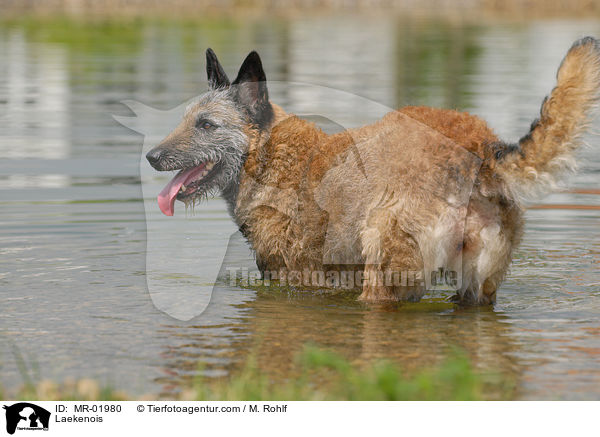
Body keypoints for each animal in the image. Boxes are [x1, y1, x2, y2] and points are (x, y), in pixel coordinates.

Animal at [145, 38, 600, 304]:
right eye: (187, 120)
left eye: (206, 125)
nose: (151, 156)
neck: (268, 155)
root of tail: (479, 147)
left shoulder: (300, 280)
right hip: (475, 289)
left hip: (381, 276)